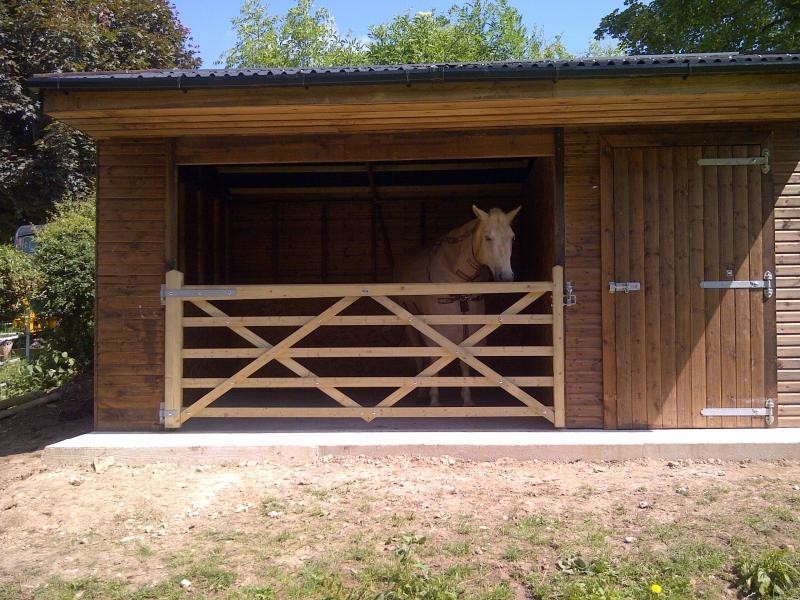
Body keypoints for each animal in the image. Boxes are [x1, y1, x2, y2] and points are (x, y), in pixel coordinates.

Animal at [396, 204, 520, 406]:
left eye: (512, 237)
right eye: (487, 237)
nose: (506, 277)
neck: (453, 274)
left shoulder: (470, 328)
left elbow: (464, 360)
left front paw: (467, 398)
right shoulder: (437, 330)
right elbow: (435, 359)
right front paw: (434, 399)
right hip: (410, 325)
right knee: (419, 354)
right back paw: (421, 392)